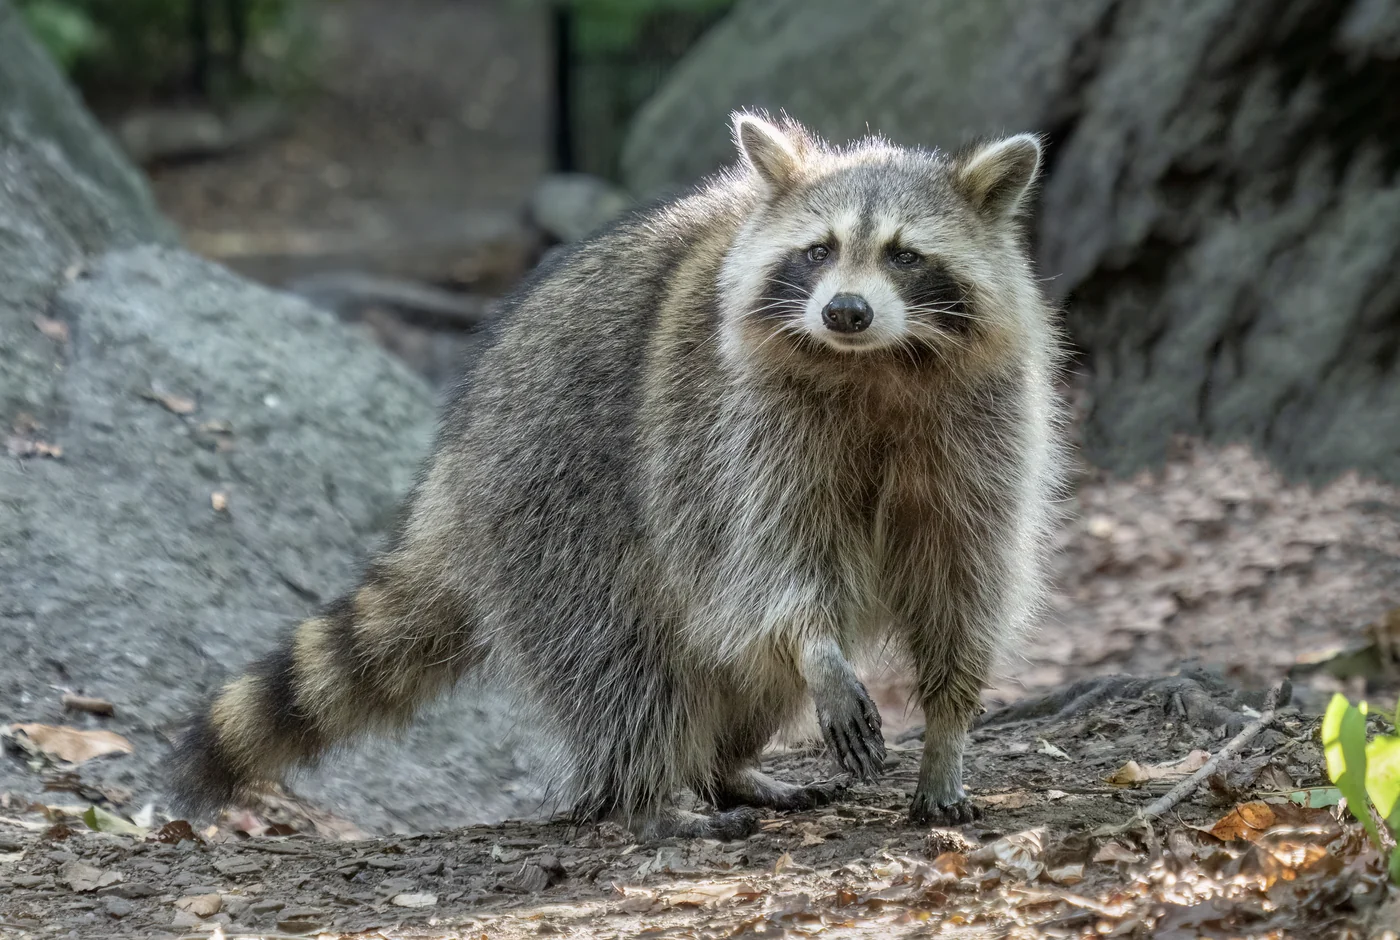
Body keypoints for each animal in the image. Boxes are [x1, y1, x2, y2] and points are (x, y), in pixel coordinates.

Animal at [167, 111, 1068, 840]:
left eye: (905, 256)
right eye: (818, 252)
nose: (845, 311)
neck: (876, 364)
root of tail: (452, 468)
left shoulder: (983, 429)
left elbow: (965, 577)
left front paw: (948, 728)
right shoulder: (736, 429)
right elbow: (771, 561)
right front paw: (819, 649)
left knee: (737, 668)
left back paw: (725, 766)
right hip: (553, 500)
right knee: (622, 657)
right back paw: (647, 795)